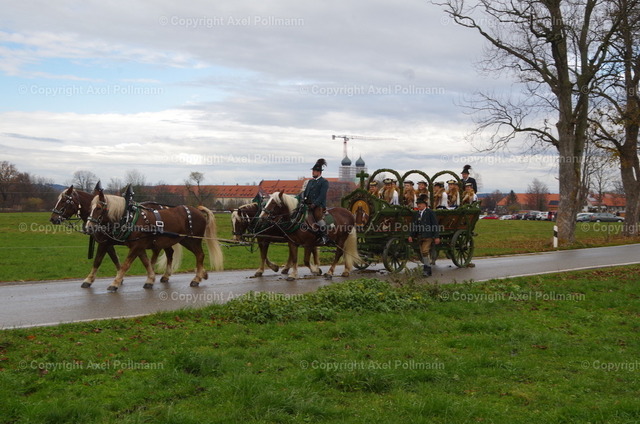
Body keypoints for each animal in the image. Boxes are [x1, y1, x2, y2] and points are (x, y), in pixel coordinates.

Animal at [49, 185, 182, 288]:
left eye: (64, 201)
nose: (53, 219)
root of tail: (164, 207)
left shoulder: (105, 243)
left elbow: (98, 261)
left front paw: (89, 280)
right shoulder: (108, 243)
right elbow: (114, 258)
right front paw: (120, 277)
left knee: (165, 253)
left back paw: (162, 274)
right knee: (167, 252)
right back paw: (159, 273)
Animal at [85, 190, 223, 291]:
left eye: (98, 208)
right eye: (90, 208)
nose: (88, 227)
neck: (130, 217)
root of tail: (197, 210)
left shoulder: (135, 246)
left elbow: (125, 265)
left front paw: (115, 283)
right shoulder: (138, 246)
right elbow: (146, 262)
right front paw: (150, 279)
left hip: (192, 241)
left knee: (200, 255)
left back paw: (196, 279)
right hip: (182, 240)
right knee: (177, 254)